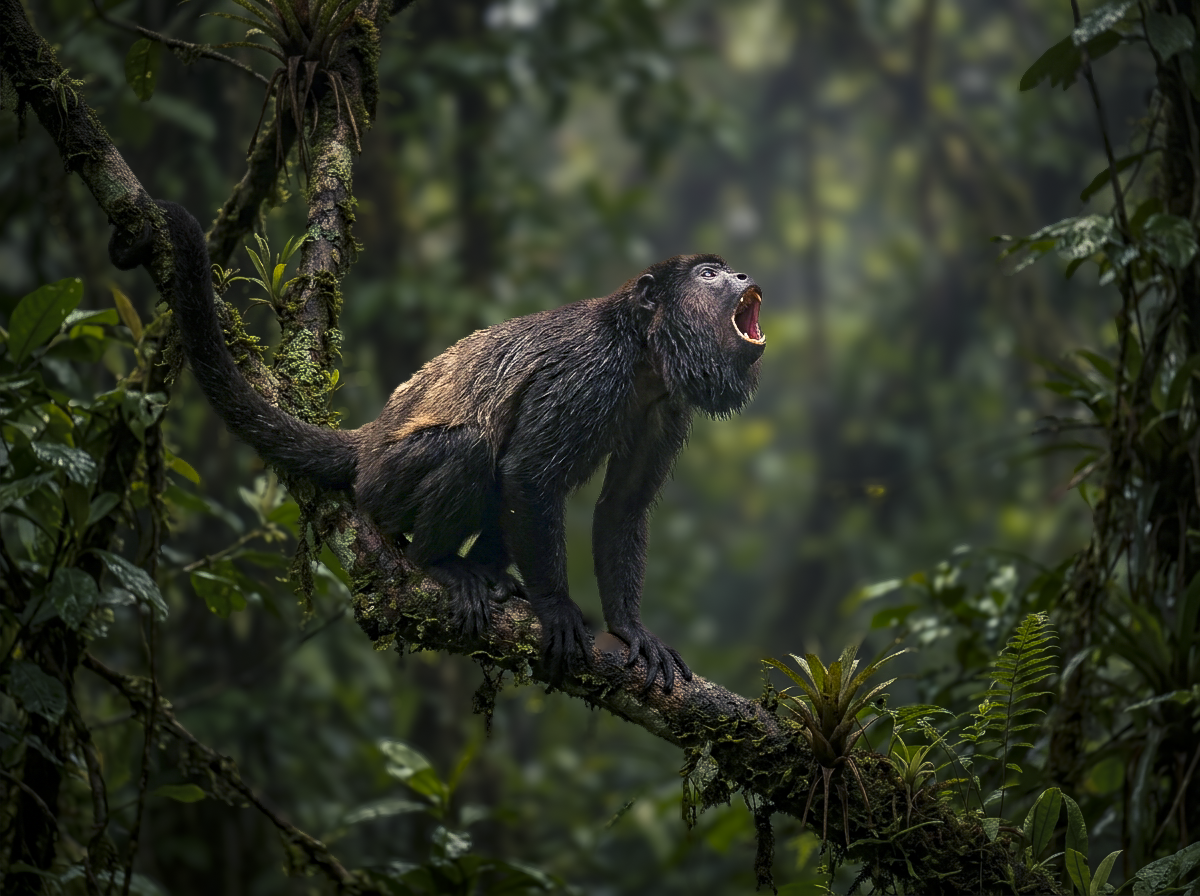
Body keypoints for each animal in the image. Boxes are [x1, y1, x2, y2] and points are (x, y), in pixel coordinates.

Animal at [109, 201, 765, 693]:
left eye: (726, 271)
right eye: (708, 275)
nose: (740, 277)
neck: (645, 354)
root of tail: (369, 442)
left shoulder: (667, 406)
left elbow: (623, 506)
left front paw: (631, 630)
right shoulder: (591, 371)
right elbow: (529, 474)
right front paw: (556, 608)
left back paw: (492, 575)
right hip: (386, 481)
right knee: (475, 451)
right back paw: (440, 564)